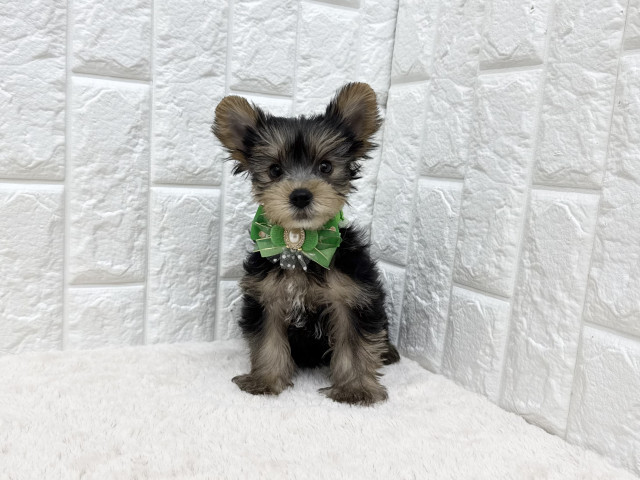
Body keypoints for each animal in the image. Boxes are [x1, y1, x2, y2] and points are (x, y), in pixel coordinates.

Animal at [212, 82, 400, 405]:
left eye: (325, 167)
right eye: (275, 170)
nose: (300, 195)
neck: (302, 247)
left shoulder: (351, 297)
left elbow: (354, 344)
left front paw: (355, 389)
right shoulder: (267, 298)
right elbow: (268, 341)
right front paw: (265, 380)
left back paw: (388, 352)